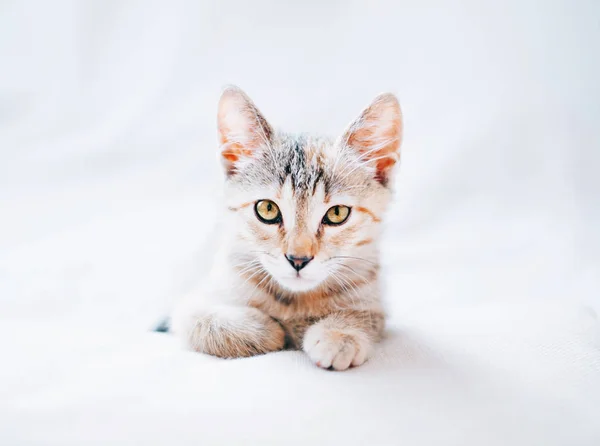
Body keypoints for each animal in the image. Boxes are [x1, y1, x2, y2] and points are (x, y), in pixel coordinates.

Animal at [170, 86, 404, 370]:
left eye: (337, 213)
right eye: (267, 209)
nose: (298, 259)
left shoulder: (373, 299)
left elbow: (365, 315)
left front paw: (338, 334)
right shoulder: (193, 301)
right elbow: (199, 319)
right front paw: (267, 330)